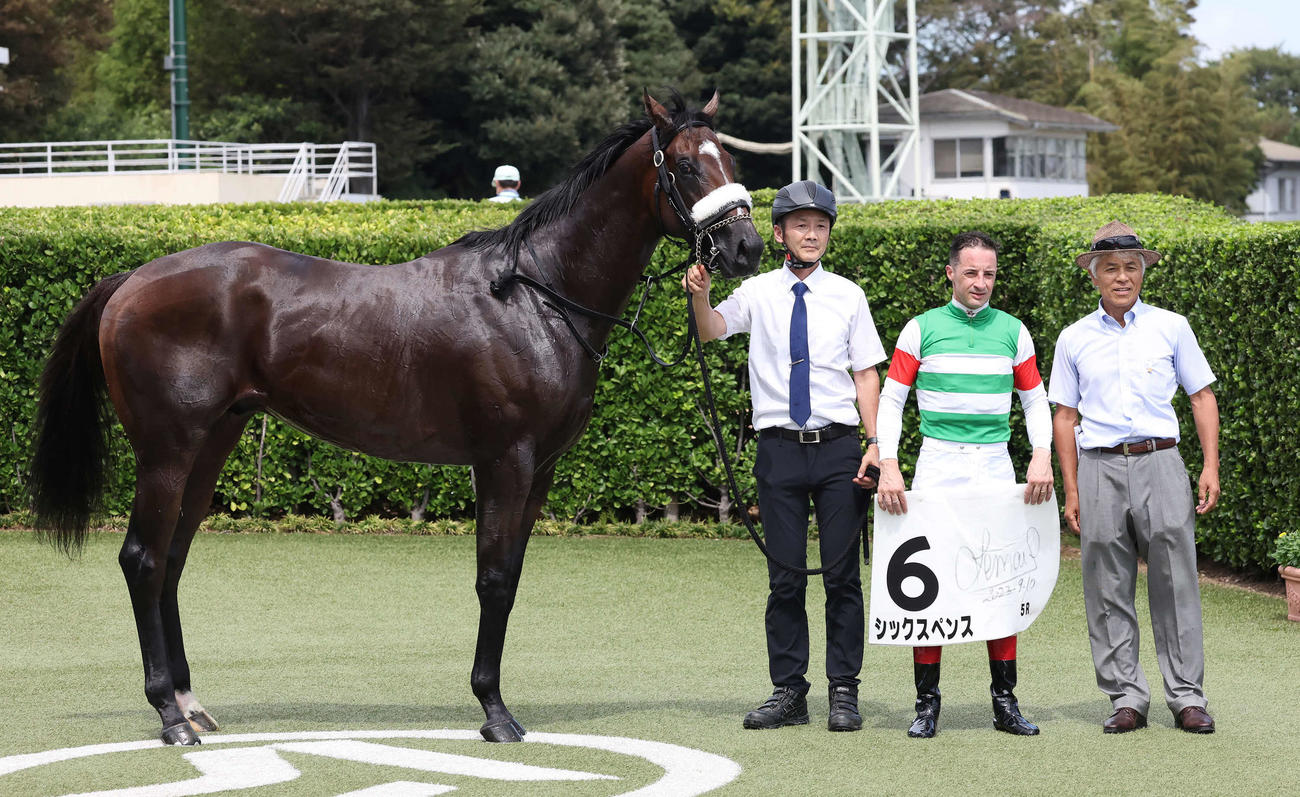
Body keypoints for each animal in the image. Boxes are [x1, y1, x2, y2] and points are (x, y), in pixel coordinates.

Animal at [29, 90, 762, 745]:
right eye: (686, 165)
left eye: (728, 157)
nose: (746, 247)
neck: (536, 295)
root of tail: (129, 281)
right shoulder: (506, 459)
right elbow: (494, 579)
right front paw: (494, 711)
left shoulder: (542, 469)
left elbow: (512, 576)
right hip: (167, 450)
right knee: (143, 558)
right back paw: (168, 714)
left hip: (213, 441)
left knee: (172, 560)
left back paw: (190, 701)